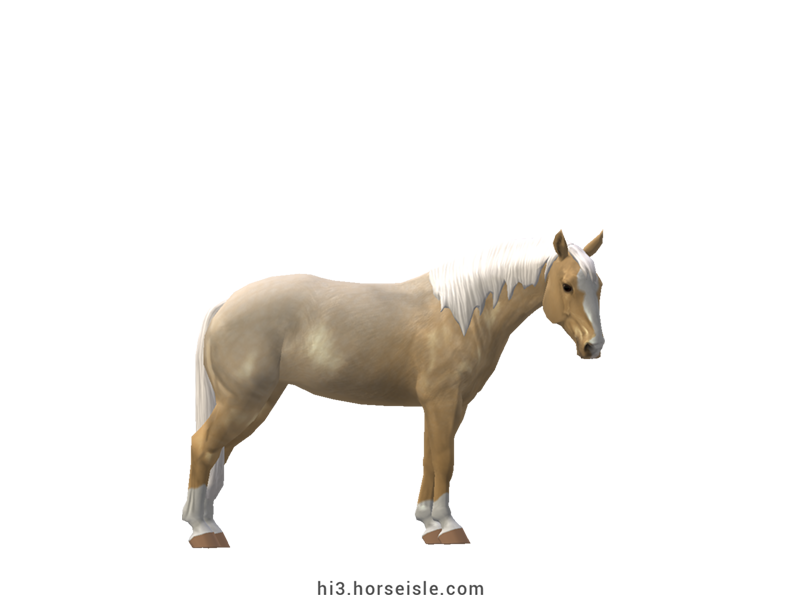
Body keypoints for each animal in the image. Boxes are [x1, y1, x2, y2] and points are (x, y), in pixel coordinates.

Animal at [182, 230, 604, 541]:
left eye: (597, 284)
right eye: (567, 285)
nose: (593, 346)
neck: (462, 315)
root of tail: (223, 307)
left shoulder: (446, 403)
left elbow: (431, 456)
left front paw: (426, 520)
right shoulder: (442, 399)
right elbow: (444, 457)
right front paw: (447, 523)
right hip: (241, 404)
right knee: (202, 448)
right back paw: (201, 530)